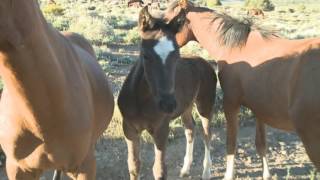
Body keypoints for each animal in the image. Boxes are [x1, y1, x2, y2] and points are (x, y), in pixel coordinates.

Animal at [164, 0, 320, 179]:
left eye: (167, 20)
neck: (238, 47)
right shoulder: (259, 109)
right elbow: (261, 144)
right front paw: (266, 174)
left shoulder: (231, 103)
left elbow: (231, 143)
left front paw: (228, 174)